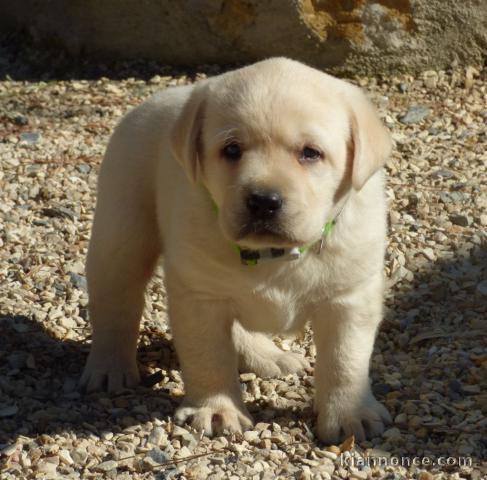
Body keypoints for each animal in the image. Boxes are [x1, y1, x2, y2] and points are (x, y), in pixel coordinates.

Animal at [80, 58, 392, 444]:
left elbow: (345, 360)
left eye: (311, 153)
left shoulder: (349, 298)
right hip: (121, 229)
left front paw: (350, 415)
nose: (263, 201)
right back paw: (109, 367)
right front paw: (217, 409)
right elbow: (208, 355)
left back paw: (268, 356)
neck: (276, 255)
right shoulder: (199, 296)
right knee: (116, 303)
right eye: (231, 150)